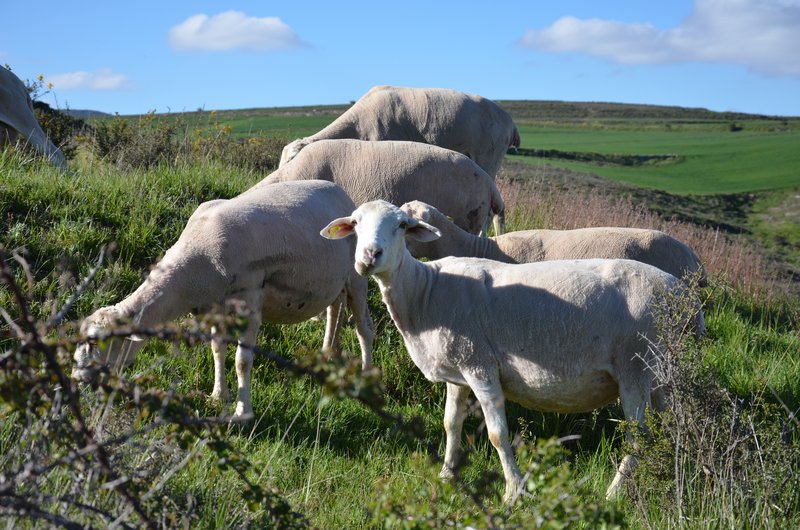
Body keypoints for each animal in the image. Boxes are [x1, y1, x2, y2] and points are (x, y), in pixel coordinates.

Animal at [75, 179, 376, 418]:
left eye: (96, 341)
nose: (77, 379)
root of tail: (337, 190)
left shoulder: (250, 298)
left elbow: (242, 361)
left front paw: (243, 413)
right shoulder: (213, 308)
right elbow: (217, 350)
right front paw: (218, 396)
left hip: (357, 274)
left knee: (364, 326)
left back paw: (365, 375)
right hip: (333, 279)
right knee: (335, 308)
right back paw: (327, 353)